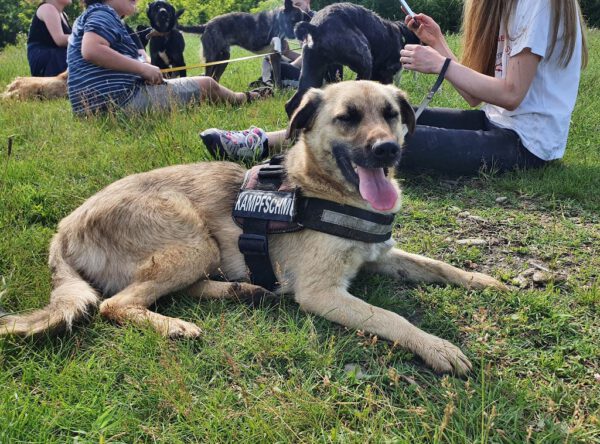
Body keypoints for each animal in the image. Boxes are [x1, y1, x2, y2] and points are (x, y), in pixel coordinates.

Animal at [0, 80, 506, 374]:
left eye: (391, 114)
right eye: (347, 118)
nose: (387, 150)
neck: (320, 188)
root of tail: (64, 227)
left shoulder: (382, 255)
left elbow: (439, 265)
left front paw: (486, 281)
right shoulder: (322, 293)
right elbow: (391, 317)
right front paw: (436, 347)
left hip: (196, 252)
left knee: (171, 289)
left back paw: (241, 291)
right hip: (191, 241)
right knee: (116, 304)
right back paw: (175, 326)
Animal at [178, 0, 310, 81]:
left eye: (301, 22)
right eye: (293, 20)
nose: (296, 35)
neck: (276, 21)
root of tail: (206, 25)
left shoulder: (275, 56)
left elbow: (278, 78)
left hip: (224, 58)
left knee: (215, 78)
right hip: (212, 58)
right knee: (208, 76)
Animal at [284, 2, 418, 116]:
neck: (400, 33)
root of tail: (315, 28)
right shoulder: (387, 75)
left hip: (314, 70)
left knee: (293, 103)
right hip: (364, 59)